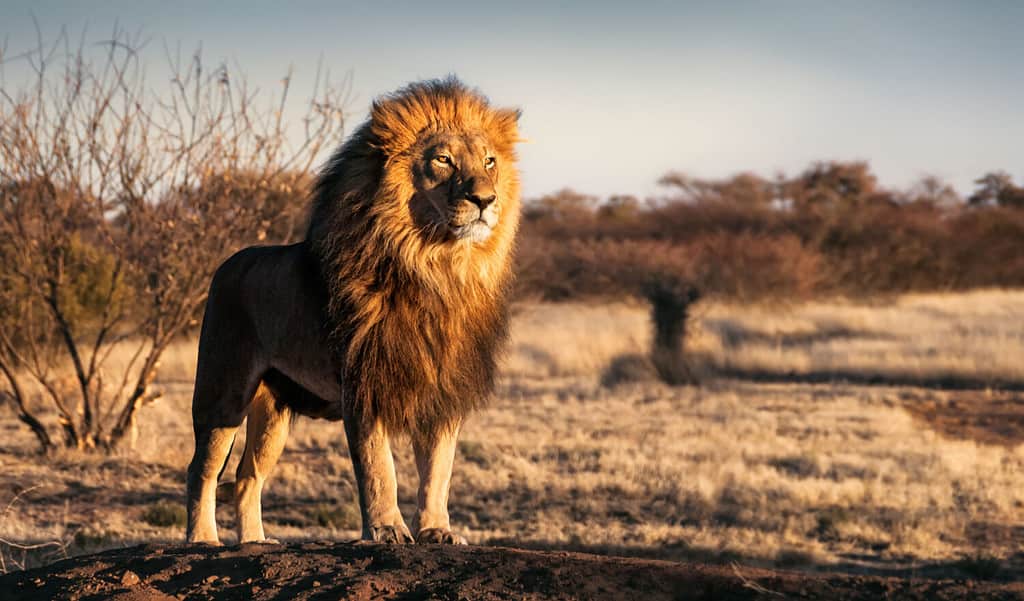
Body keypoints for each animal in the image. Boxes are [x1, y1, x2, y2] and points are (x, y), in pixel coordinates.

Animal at [185, 78, 522, 545]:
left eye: (490, 161)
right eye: (443, 159)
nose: (485, 199)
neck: (437, 268)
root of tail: (227, 263)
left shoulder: (443, 388)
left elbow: (438, 470)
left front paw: (437, 530)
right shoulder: (364, 382)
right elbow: (379, 468)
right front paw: (387, 530)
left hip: (273, 411)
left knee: (247, 475)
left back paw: (254, 541)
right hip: (223, 392)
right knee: (202, 469)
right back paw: (202, 539)